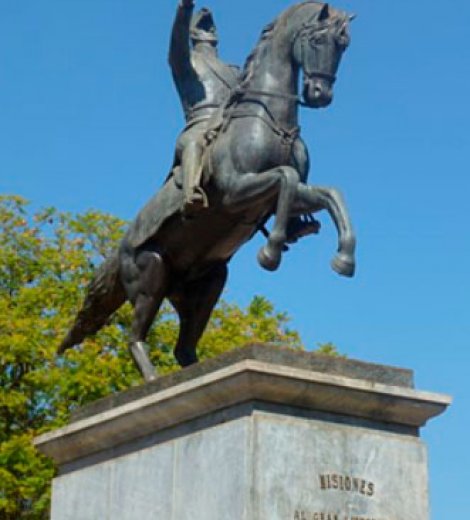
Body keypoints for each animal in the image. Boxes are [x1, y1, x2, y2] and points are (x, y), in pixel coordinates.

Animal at [60, 2, 358, 384]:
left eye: (344, 46)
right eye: (319, 39)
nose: (321, 95)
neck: (268, 120)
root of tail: (119, 248)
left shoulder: (282, 198)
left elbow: (329, 194)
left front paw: (344, 258)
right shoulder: (235, 192)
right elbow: (287, 178)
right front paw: (270, 252)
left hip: (208, 282)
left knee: (183, 348)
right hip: (150, 275)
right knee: (134, 337)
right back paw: (154, 379)